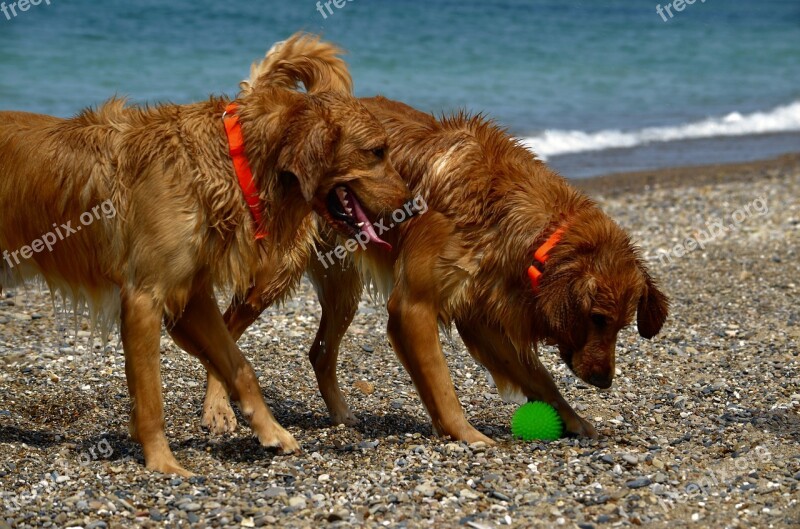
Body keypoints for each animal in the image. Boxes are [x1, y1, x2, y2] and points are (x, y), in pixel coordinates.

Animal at [0, 36, 410, 474]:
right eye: (377, 151)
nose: (413, 202)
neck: (232, 160)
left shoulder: (193, 295)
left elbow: (240, 366)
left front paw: (272, 432)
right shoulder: (144, 297)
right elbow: (151, 398)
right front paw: (163, 462)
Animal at [200, 35, 668, 444]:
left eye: (622, 324)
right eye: (598, 318)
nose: (603, 381)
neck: (503, 210)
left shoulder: (482, 315)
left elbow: (540, 376)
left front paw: (574, 420)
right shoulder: (415, 306)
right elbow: (442, 386)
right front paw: (468, 436)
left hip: (341, 285)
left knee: (318, 351)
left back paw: (342, 415)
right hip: (276, 274)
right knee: (225, 330)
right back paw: (218, 409)